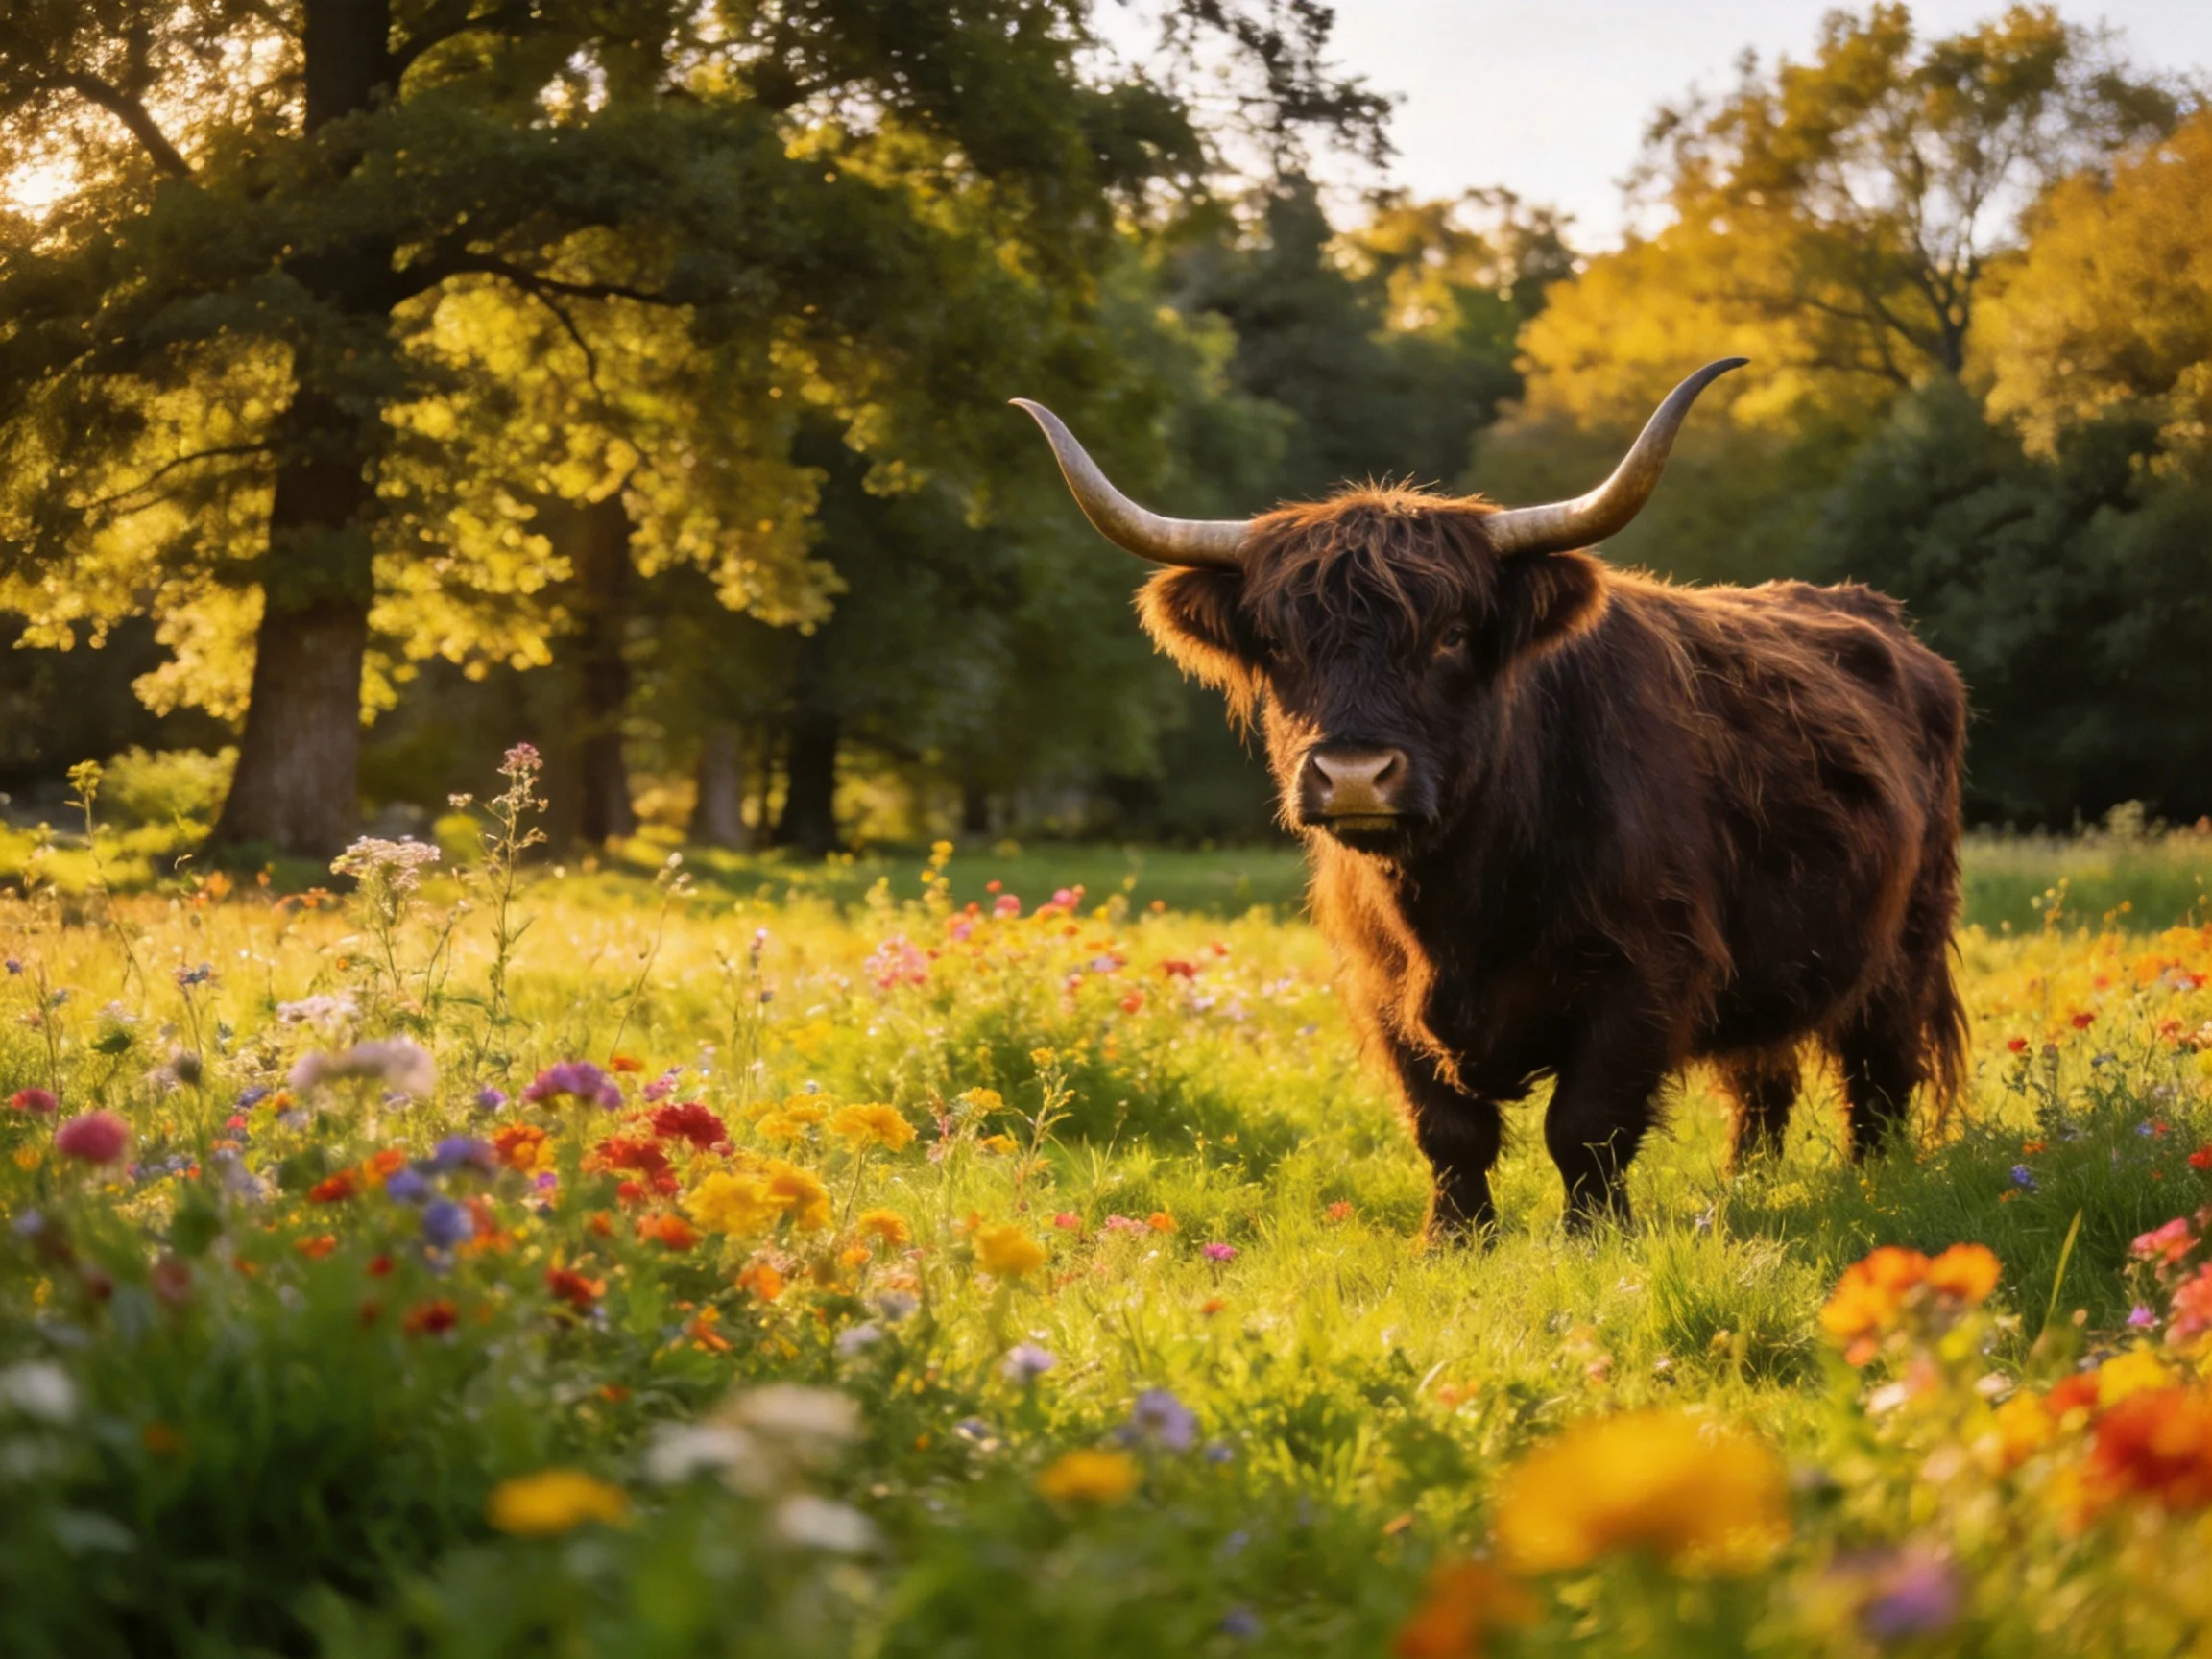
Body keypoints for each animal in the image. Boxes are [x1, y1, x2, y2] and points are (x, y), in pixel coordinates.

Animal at [1013, 360, 1968, 1240]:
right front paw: (1456, 1238)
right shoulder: (1381, 986)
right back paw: (1748, 1185)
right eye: (1280, 645)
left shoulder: (1647, 971)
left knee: (1878, 1074)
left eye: (1450, 636)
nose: (1353, 774)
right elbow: (1448, 1129)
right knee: (1761, 1078)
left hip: (1905, 947)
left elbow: (1586, 1124)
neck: (1456, 905)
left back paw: (1870, 1185)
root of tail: (1888, 625)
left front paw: (1593, 1237)